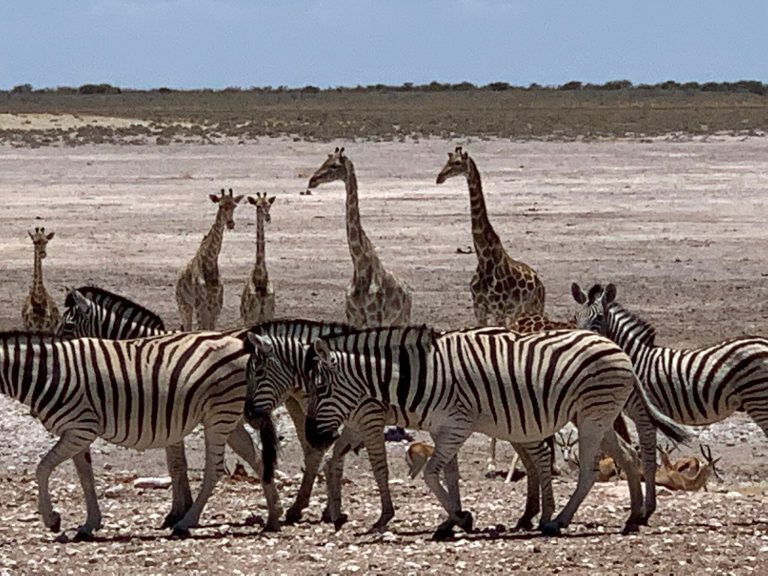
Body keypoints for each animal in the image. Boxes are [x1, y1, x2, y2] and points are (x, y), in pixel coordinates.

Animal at [0, 330, 280, 540]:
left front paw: (52, 519)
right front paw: (90, 524)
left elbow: (42, 468)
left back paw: (185, 522)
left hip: (219, 415)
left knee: (215, 469)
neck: (46, 373)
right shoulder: (77, 431)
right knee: (257, 458)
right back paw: (274, 515)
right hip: (230, 417)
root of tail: (240, 343)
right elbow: (85, 478)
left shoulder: (80, 429)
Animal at [303, 325, 689, 538]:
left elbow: (430, 474)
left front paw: (461, 519)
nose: (312, 438)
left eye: (320, 389)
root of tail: (619, 349)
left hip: (594, 416)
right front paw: (452, 521)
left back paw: (558, 521)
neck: (423, 377)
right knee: (629, 455)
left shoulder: (456, 426)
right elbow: (450, 475)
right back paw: (633, 517)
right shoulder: (444, 429)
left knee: (590, 471)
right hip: (598, 415)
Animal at [573, 281, 768, 451]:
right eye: (576, 316)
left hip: (759, 399)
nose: (583, 340)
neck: (636, 359)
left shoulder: (645, 414)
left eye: (599, 317)